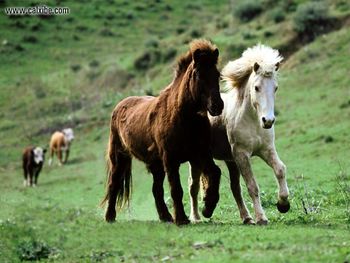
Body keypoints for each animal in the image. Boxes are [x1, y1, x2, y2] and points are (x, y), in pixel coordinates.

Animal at [100, 40, 224, 226]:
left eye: (217, 74)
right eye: (199, 75)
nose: (217, 106)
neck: (182, 117)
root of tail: (120, 105)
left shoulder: (200, 154)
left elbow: (215, 173)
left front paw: (207, 207)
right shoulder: (170, 159)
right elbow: (176, 189)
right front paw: (182, 219)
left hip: (156, 164)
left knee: (156, 189)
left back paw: (165, 217)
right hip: (119, 157)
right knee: (113, 184)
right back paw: (110, 217)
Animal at [189, 44, 290, 226]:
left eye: (275, 87)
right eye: (256, 87)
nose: (268, 121)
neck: (253, 121)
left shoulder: (266, 150)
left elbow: (280, 170)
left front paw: (283, 204)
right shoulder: (242, 154)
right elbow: (252, 186)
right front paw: (262, 218)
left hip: (230, 161)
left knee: (235, 188)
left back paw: (246, 217)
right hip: (197, 160)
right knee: (193, 186)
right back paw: (196, 217)